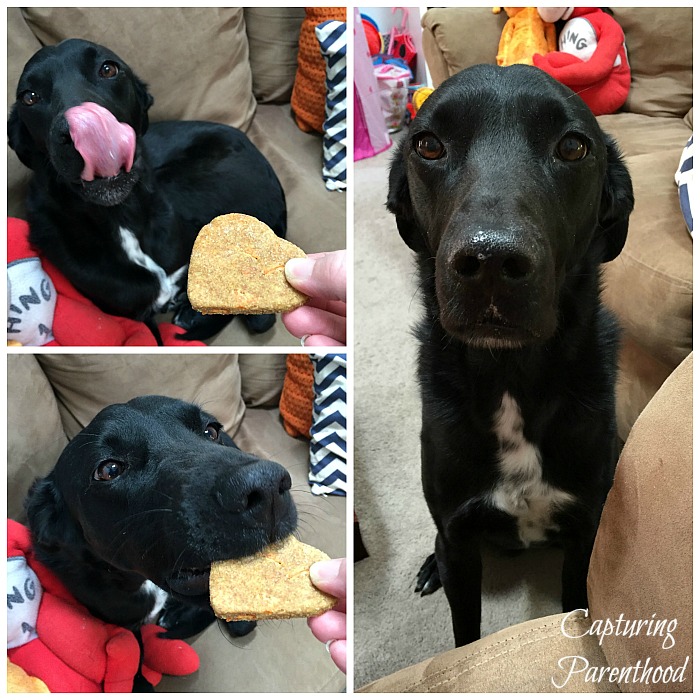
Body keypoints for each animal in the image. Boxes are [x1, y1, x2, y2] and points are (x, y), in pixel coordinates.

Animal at [388, 65, 636, 644]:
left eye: (572, 147)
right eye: (428, 145)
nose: (491, 262)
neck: (510, 374)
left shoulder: (586, 534)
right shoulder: (458, 540)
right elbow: (466, 634)